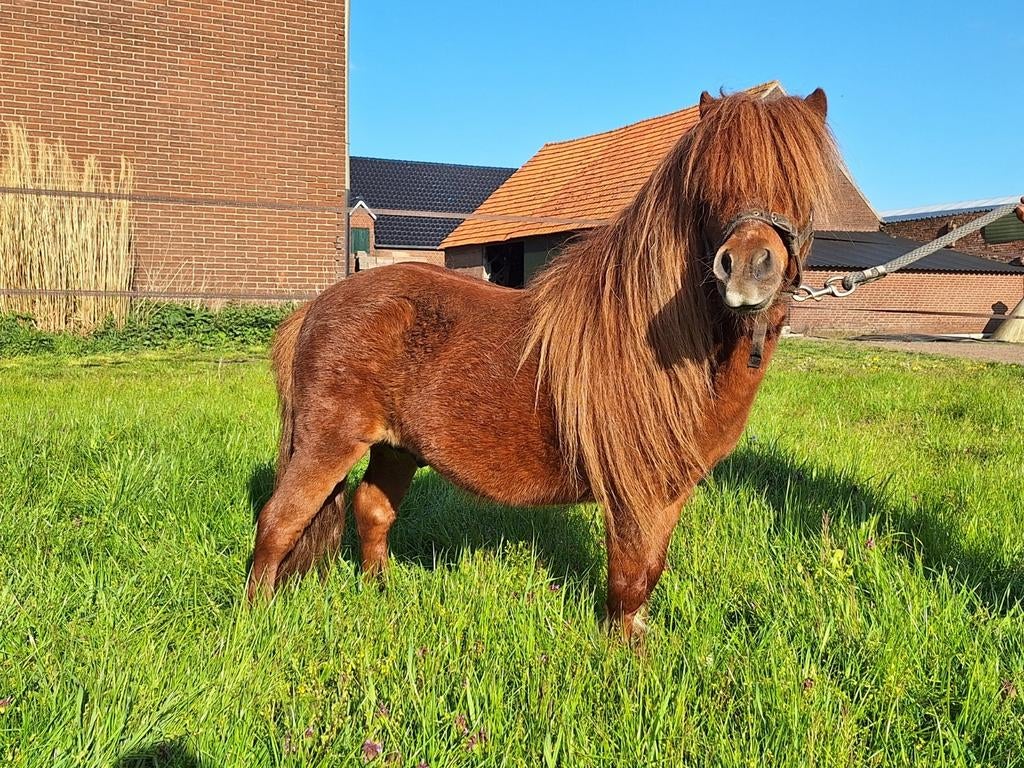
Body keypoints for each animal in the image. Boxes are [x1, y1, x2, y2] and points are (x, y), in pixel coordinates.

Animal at [247, 88, 841, 638]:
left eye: (801, 184)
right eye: (709, 185)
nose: (747, 268)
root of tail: (318, 306)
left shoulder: (670, 491)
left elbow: (649, 571)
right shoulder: (635, 492)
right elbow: (630, 576)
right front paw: (624, 656)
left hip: (395, 447)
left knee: (372, 510)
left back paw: (381, 594)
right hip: (327, 445)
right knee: (278, 523)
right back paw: (257, 621)